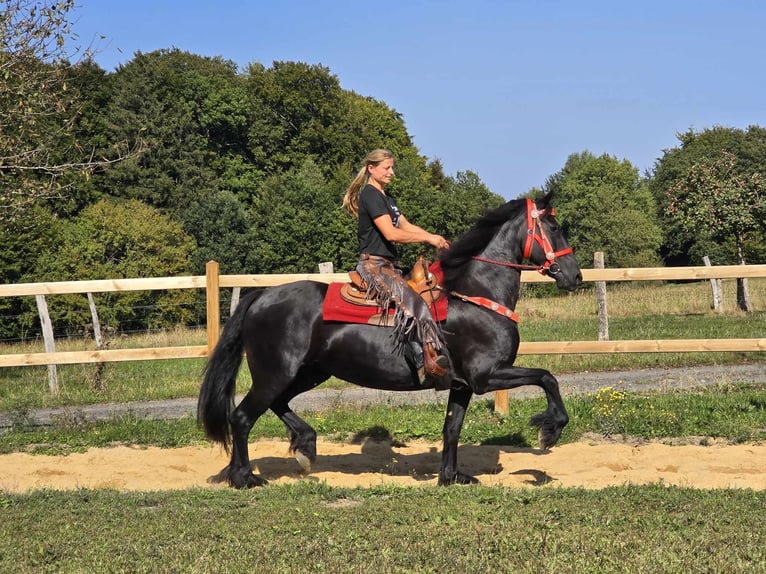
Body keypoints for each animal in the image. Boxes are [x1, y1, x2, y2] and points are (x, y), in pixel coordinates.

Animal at [198, 191, 584, 488]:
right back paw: (245, 478)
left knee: (276, 405)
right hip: (276, 373)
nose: (575, 276)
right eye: (554, 227)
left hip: (308, 373)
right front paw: (550, 430)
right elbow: (547, 377)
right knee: (242, 417)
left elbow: (452, 429)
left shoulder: (462, 385)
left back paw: (303, 448)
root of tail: (260, 296)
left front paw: (451, 477)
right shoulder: (487, 376)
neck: (475, 294)